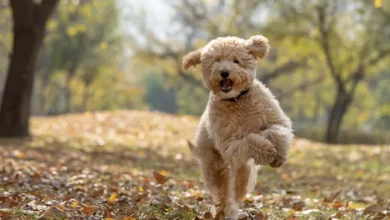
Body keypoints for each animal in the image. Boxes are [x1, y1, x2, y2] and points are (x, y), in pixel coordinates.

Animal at [183, 35, 292, 218]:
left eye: (236, 61)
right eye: (216, 61)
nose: (224, 72)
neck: (237, 100)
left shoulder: (276, 120)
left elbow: (276, 132)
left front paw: (278, 156)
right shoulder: (229, 145)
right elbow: (249, 140)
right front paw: (268, 151)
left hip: (240, 169)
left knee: (240, 182)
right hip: (215, 166)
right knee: (223, 192)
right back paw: (224, 211)